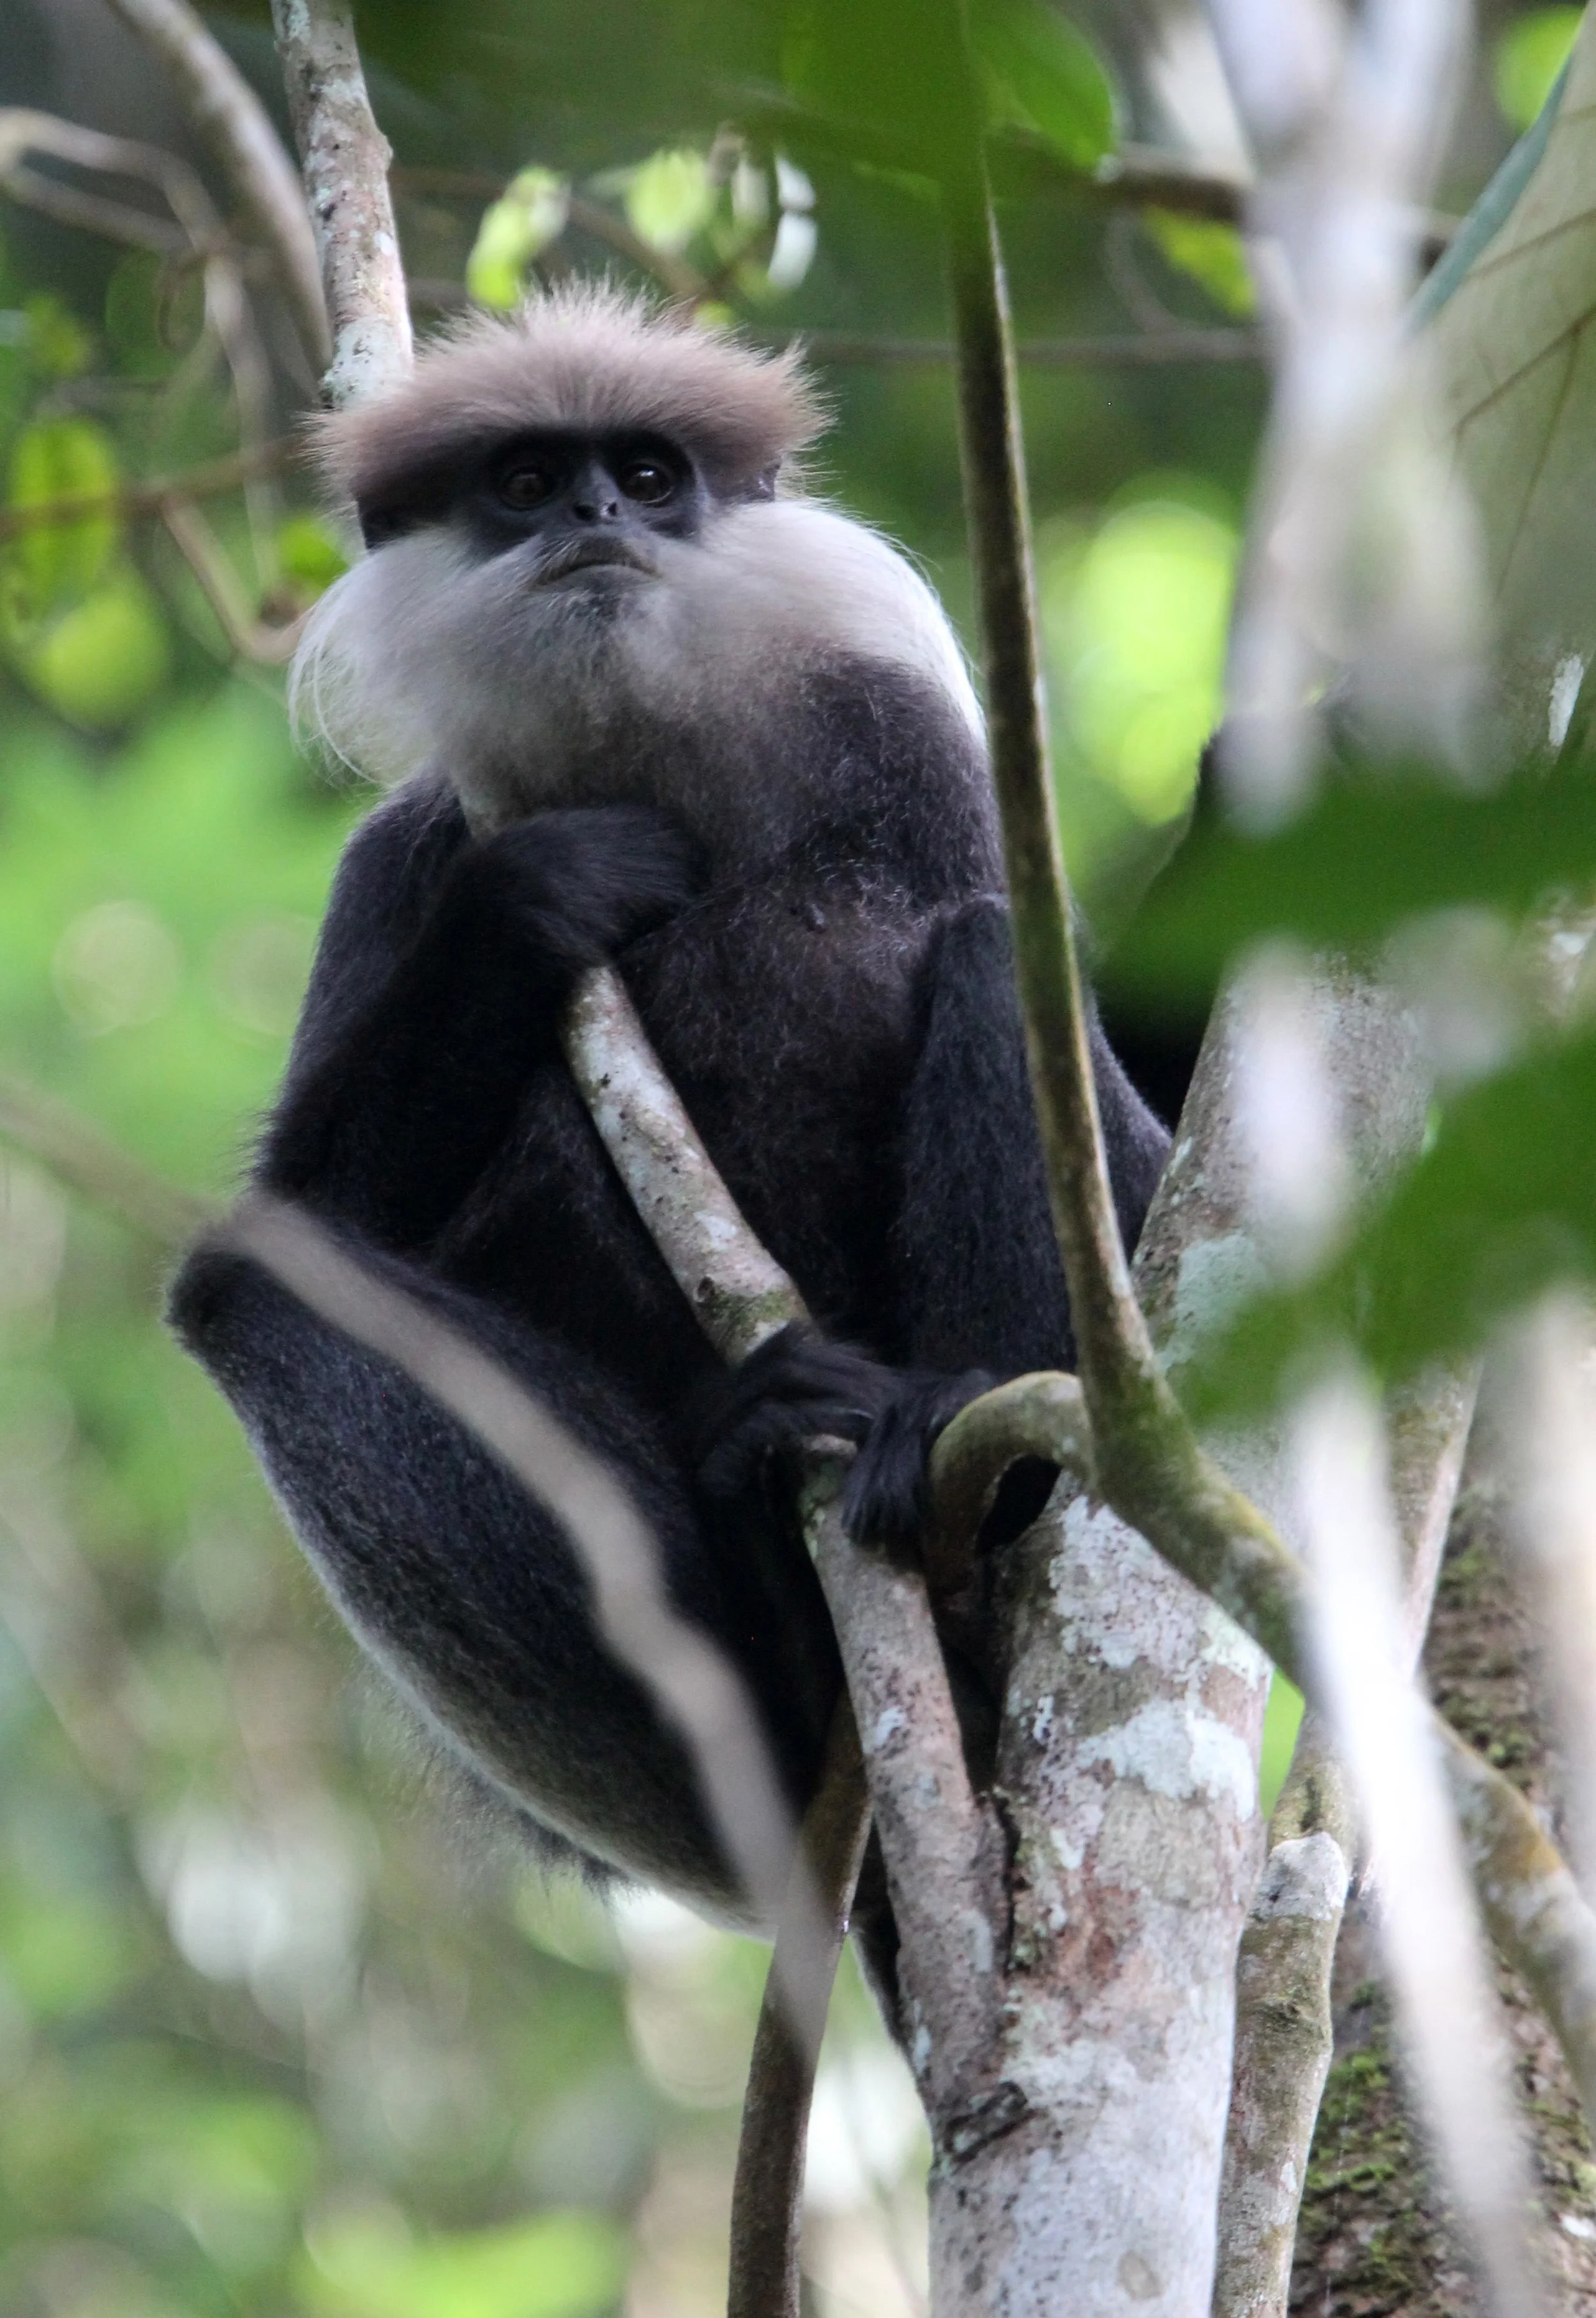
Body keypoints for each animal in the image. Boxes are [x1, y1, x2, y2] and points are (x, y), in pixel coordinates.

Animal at [168, 284, 1171, 1954]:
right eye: (523, 481)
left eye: (644, 477)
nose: (589, 519)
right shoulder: (401, 856)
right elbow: (316, 1211)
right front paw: (538, 897)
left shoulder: (914, 751)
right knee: (251, 1289)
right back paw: (758, 1515)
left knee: (981, 957)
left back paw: (947, 1483)